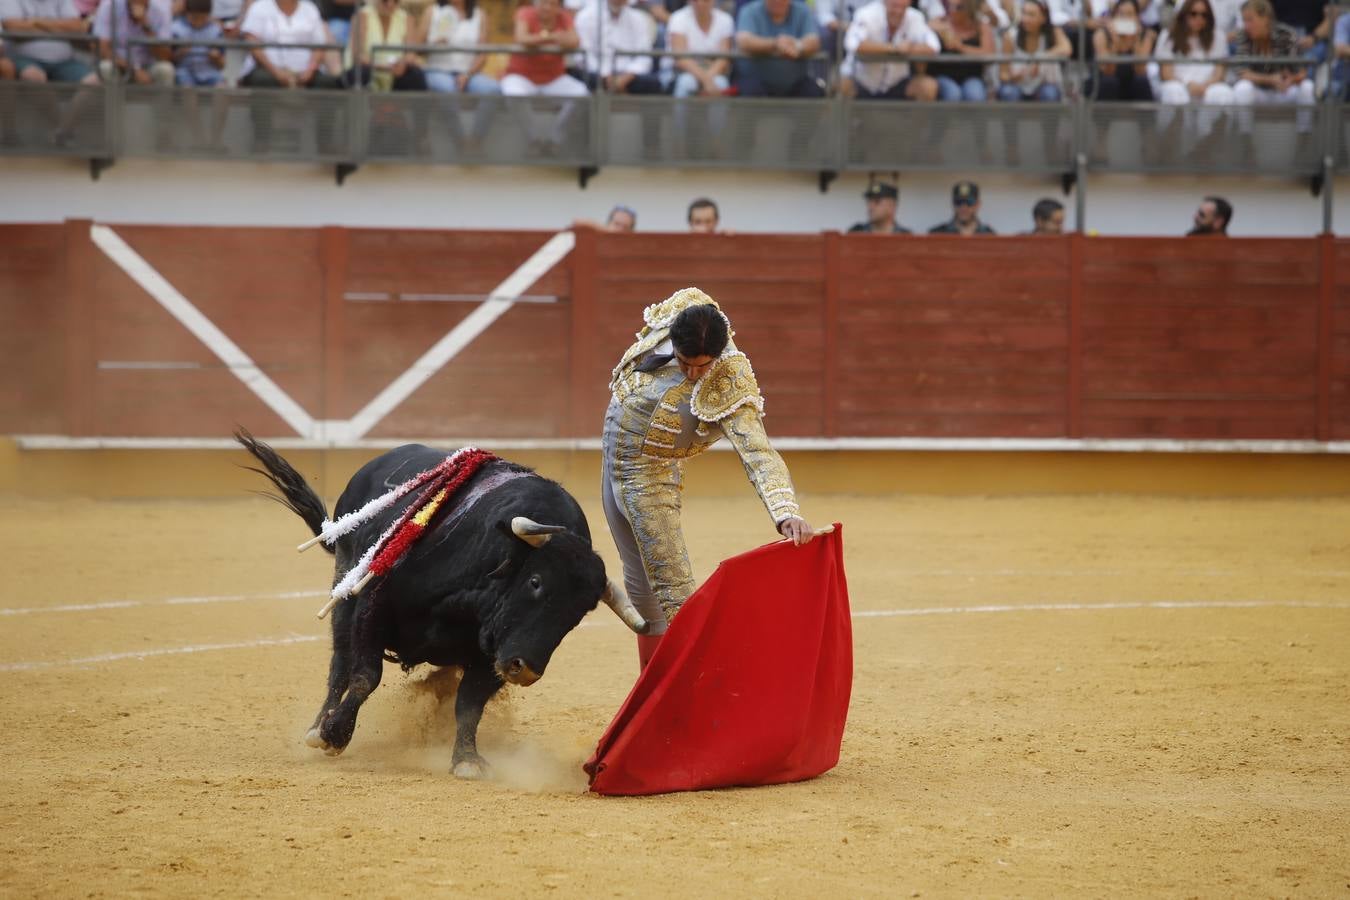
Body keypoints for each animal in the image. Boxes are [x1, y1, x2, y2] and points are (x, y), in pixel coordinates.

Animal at [237, 431, 648, 777]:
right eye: (535, 582)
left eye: (578, 615)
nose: (526, 670)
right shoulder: (374, 605)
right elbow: (365, 675)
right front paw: (334, 732)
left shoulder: (494, 650)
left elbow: (469, 703)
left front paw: (466, 759)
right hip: (344, 595)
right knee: (340, 664)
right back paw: (317, 726)